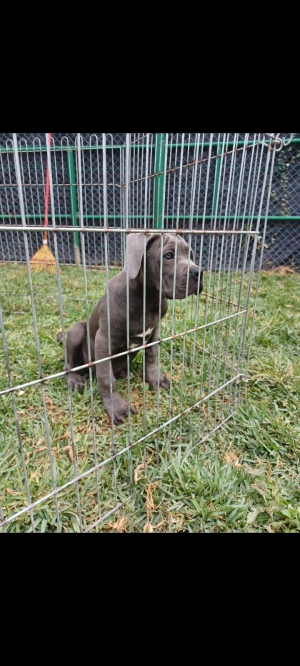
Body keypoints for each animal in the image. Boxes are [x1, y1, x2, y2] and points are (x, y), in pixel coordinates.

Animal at [58, 231, 203, 422]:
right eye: (168, 256)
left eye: (191, 255)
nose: (199, 272)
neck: (147, 300)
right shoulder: (103, 341)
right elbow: (106, 378)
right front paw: (117, 407)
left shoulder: (154, 332)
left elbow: (151, 357)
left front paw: (156, 380)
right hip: (76, 330)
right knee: (69, 365)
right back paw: (75, 380)